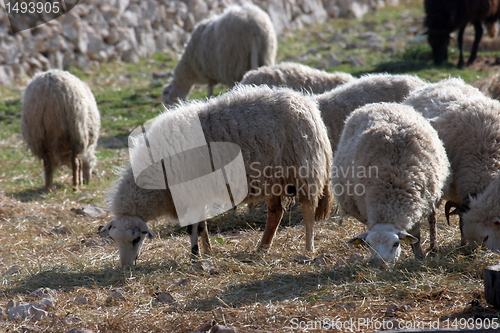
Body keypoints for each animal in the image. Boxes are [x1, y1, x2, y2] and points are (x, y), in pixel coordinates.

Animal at [98, 85, 334, 268]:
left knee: (308, 211)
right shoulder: (197, 193)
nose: (125, 268)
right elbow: (202, 226)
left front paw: (195, 256)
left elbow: (192, 227)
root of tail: (306, 103)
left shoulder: (190, 192)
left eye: (137, 239)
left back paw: (308, 248)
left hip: (305, 170)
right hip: (272, 179)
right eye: (114, 239)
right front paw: (208, 251)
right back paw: (262, 248)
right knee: (276, 214)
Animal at [334, 102, 452, 264]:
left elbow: (416, 236)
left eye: (396, 244)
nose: (381, 264)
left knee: (432, 220)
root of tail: (382, 104)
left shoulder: (418, 207)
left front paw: (418, 257)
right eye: (369, 244)